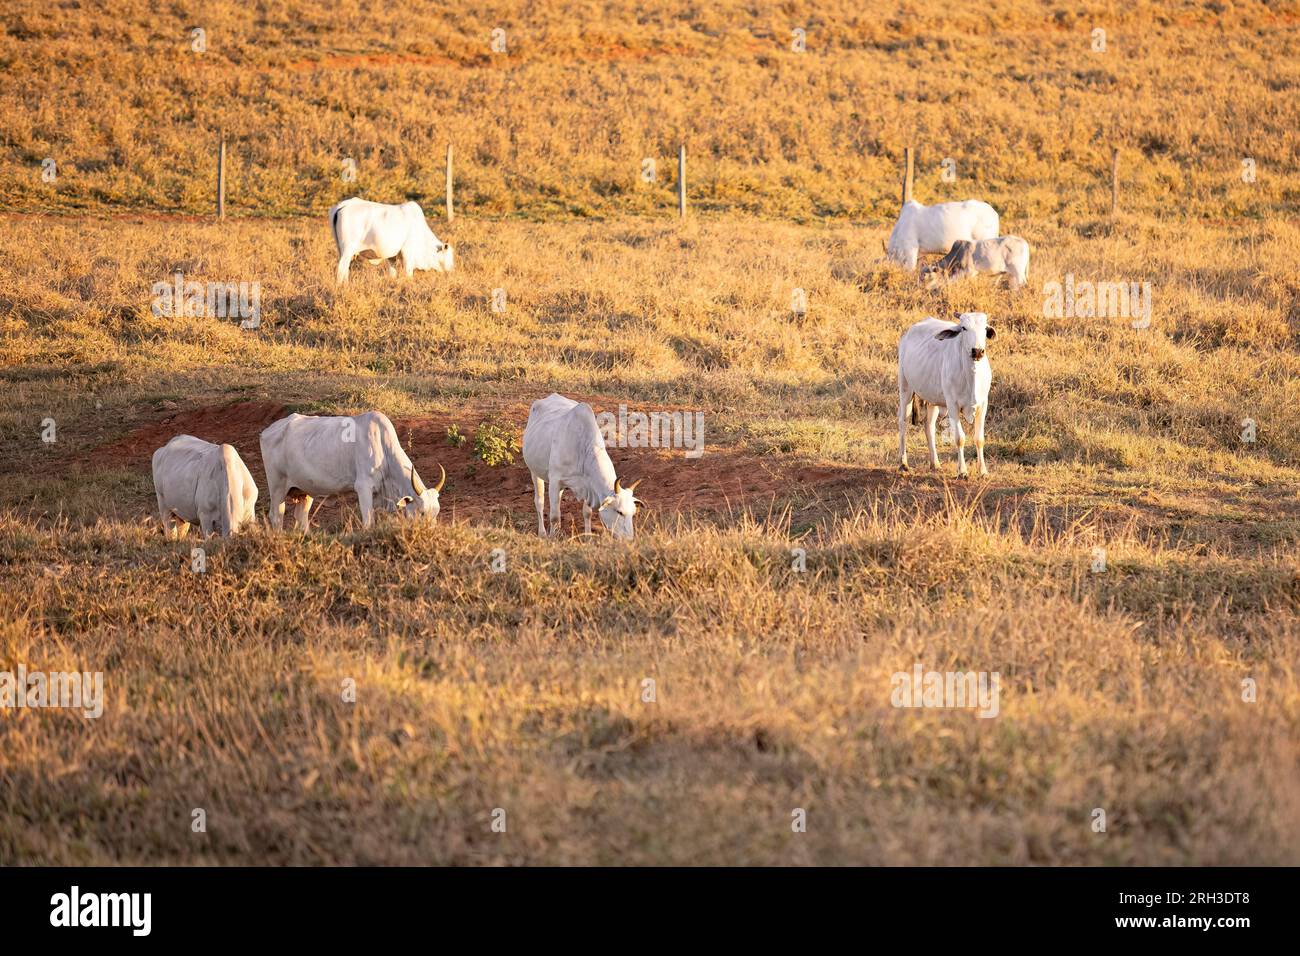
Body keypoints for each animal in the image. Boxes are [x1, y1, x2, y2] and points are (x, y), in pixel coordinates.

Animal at [260, 408, 447, 530]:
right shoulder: (363, 488)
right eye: (422, 512)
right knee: (276, 516)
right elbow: (368, 523)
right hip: (277, 488)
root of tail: (268, 431)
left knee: (301, 519)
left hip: (304, 491)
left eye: (436, 513)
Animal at [525, 390, 642, 538]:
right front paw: (553, 538)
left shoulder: (588, 486)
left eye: (633, 512)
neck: (582, 449)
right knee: (539, 502)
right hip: (534, 471)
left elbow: (587, 513)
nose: (629, 539)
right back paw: (543, 533)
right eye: (619, 512)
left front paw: (587, 536)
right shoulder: (555, 481)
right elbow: (554, 516)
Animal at [894, 314, 993, 478]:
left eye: (985, 328)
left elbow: (979, 439)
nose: (977, 351)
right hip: (905, 388)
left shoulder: (983, 405)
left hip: (932, 400)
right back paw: (903, 463)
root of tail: (907, 333)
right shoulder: (953, 405)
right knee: (903, 421)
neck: (971, 376)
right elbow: (959, 438)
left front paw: (983, 471)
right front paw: (962, 472)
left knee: (929, 426)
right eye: (963, 328)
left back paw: (935, 464)